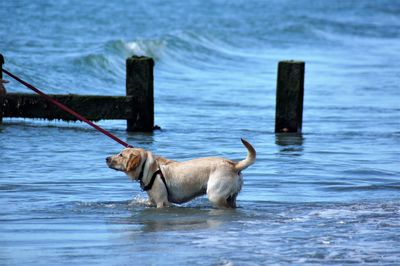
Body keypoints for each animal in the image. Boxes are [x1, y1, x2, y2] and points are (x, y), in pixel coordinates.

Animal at [106, 138, 256, 209]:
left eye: (121, 155)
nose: (106, 158)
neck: (147, 167)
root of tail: (234, 165)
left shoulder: (161, 202)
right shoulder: (152, 201)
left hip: (215, 195)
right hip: (231, 197)